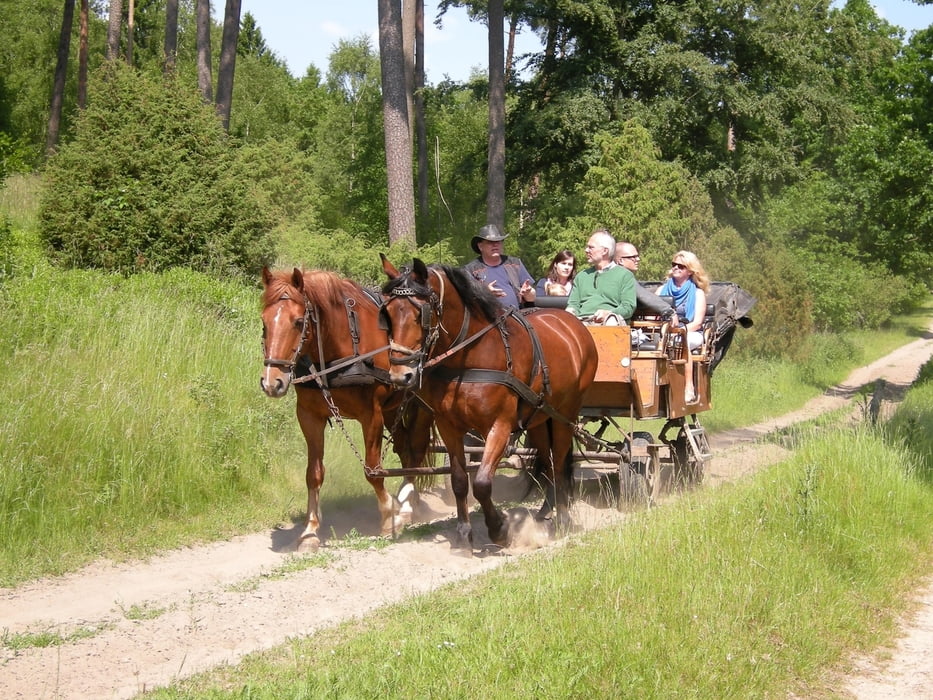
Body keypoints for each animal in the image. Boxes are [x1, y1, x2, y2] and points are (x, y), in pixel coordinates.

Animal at [260, 268, 432, 552]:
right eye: (264, 323)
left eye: (298, 322)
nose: (272, 382)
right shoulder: (309, 416)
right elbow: (313, 474)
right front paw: (310, 531)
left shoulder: (371, 416)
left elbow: (373, 471)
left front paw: (388, 514)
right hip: (393, 410)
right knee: (406, 451)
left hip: (421, 407)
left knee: (416, 451)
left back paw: (405, 507)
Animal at [378, 254, 596, 556]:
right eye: (386, 313)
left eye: (420, 313)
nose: (401, 375)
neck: (469, 358)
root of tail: (571, 322)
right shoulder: (448, 426)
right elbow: (460, 481)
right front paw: (463, 535)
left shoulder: (499, 426)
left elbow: (481, 484)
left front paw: (499, 529)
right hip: (539, 418)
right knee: (549, 461)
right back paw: (544, 512)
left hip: (566, 415)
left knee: (561, 461)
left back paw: (562, 518)